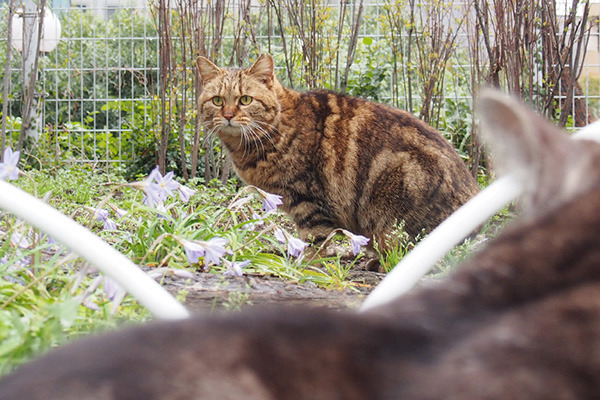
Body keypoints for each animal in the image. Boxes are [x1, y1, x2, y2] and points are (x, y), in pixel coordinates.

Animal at [196, 53, 478, 247]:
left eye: (245, 99)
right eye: (217, 100)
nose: (228, 115)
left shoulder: (310, 204)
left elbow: (315, 245)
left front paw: (306, 270)